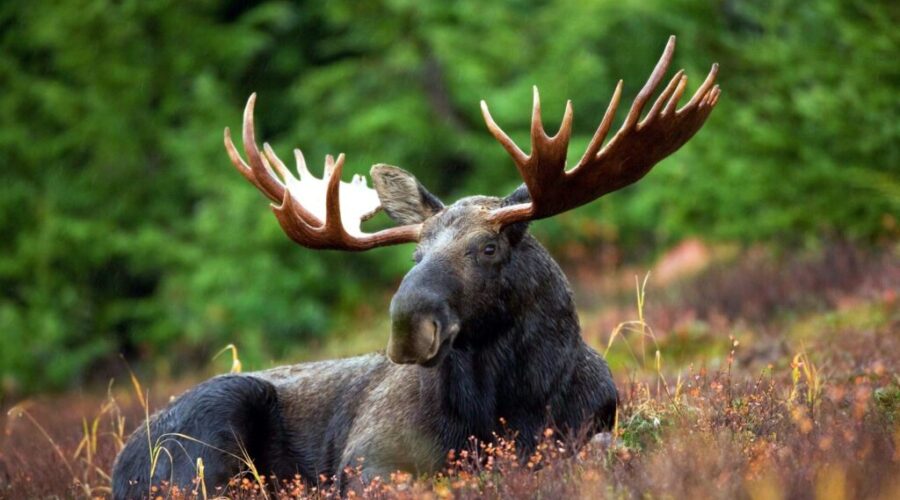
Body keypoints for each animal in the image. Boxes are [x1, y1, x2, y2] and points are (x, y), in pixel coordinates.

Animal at [112, 36, 719, 498]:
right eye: (415, 254)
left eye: (489, 248)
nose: (408, 325)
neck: (512, 403)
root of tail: (121, 463)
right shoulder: (369, 457)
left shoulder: (592, 425)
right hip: (209, 430)